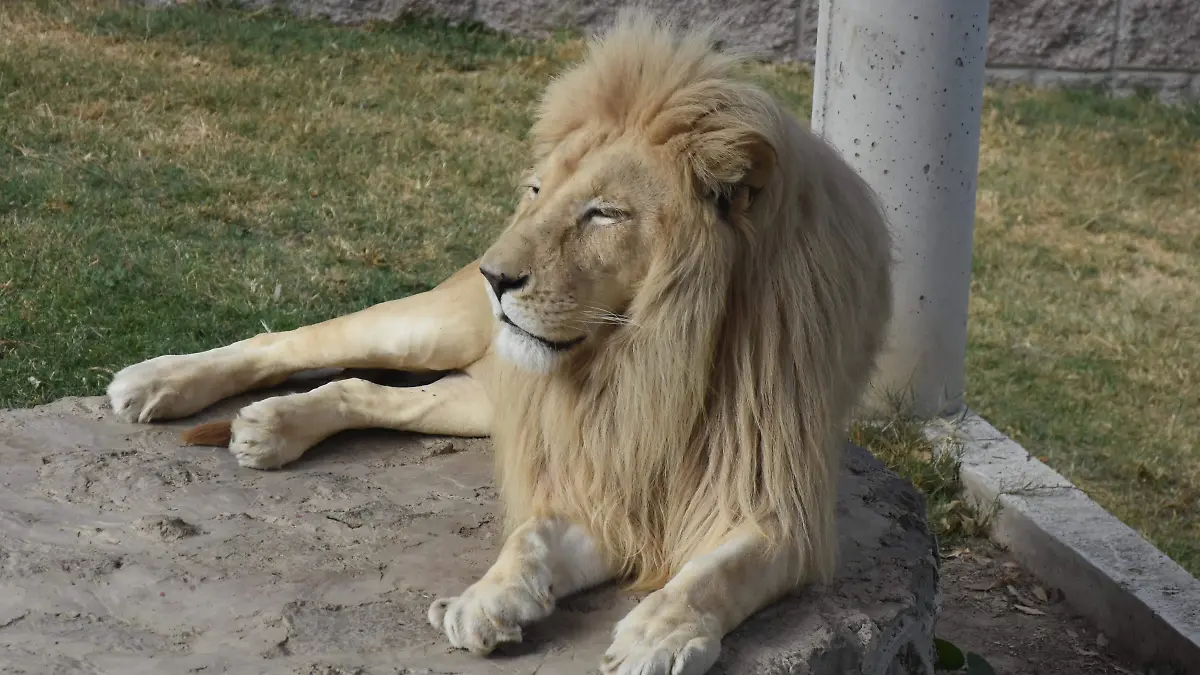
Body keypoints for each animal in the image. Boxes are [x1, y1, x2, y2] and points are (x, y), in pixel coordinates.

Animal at [105, 10, 893, 674]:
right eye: (537, 192)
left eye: (604, 214)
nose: (495, 275)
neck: (650, 360)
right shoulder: (598, 470)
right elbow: (530, 535)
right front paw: (486, 598)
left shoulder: (780, 508)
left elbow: (715, 573)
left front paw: (657, 630)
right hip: (433, 328)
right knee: (299, 342)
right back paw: (158, 382)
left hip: (485, 398)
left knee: (368, 390)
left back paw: (274, 425)